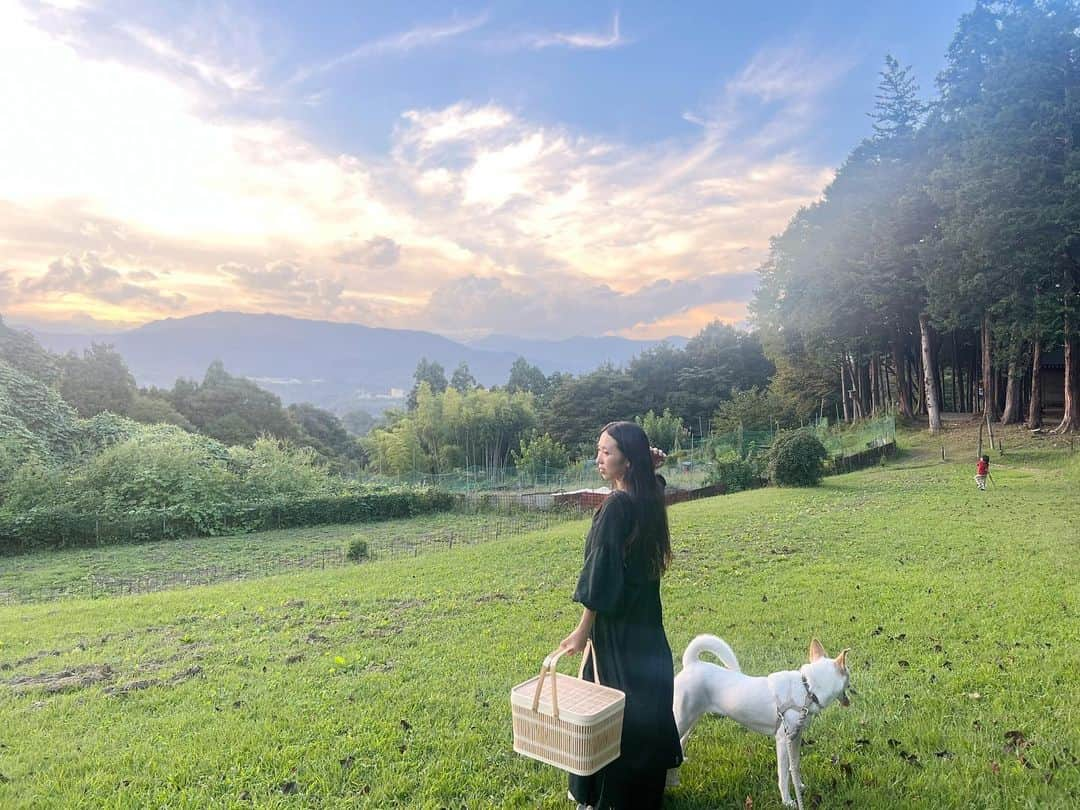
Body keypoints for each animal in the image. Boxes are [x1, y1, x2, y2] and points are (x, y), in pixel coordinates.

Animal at [665, 639, 851, 807]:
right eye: (848, 674)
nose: (854, 689)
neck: (807, 689)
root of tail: (692, 664)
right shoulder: (783, 740)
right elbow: (784, 775)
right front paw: (788, 801)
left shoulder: (796, 738)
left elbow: (795, 766)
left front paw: (799, 787)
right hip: (682, 718)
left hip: (692, 719)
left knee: (681, 741)